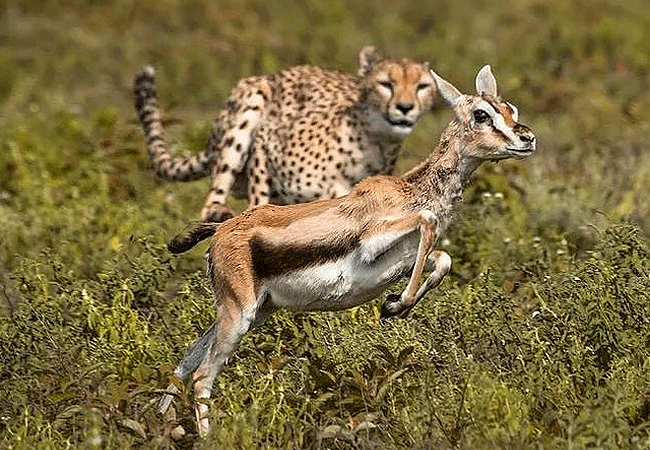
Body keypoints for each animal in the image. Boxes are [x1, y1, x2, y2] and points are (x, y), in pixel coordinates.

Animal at [133, 46, 436, 223]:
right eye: (386, 84)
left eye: (422, 86)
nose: (405, 107)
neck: (374, 143)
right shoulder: (265, 142)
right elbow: (259, 199)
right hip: (252, 96)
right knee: (213, 198)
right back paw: (218, 210)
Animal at [158, 65, 536, 436]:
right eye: (481, 114)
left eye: (511, 109)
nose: (528, 139)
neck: (409, 192)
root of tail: (220, 231)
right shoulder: (373, 240)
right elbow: (428, 221)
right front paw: (395, 307)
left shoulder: (405, 259)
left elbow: (443, 258)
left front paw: (393, 305)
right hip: (240, 314)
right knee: (202, 376)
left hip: (256, 311)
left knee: (185, 360)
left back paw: (159, 425)